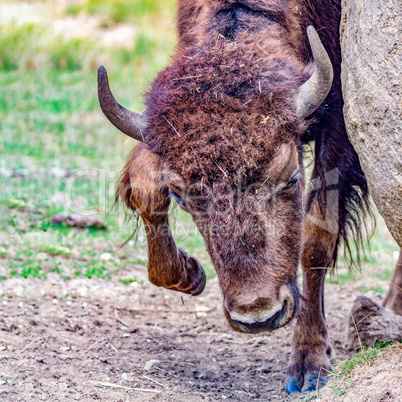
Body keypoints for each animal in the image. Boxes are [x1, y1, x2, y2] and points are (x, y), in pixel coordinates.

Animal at [97, 0, 402, 396]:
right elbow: (143, 188)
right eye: (181, 198)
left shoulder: (339, 125)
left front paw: (309, 365)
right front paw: (189, 274)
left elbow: (317, 236)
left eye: (290, 179)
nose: (258, 316)